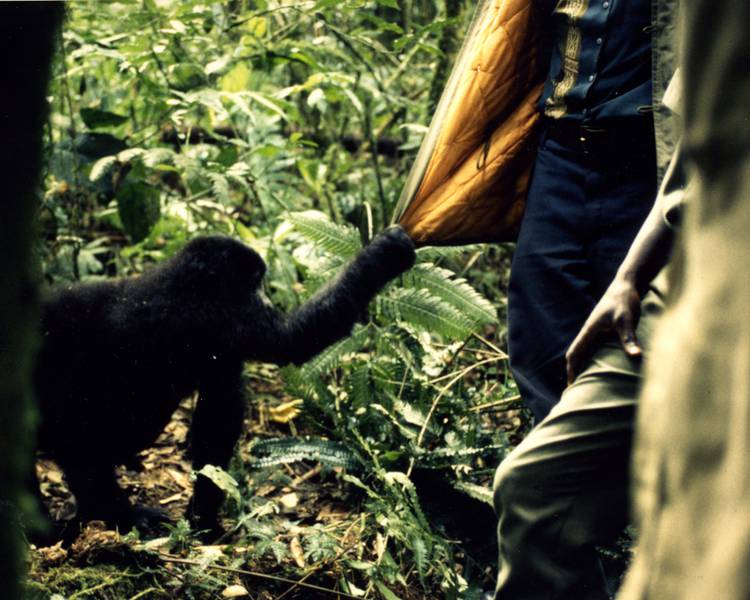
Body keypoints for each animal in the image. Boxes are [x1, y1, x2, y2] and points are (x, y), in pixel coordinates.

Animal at [35, 225, 418, 540]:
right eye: (256, 283)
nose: (266, 297)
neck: (183, 281)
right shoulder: (233, 320)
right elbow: (295, 338)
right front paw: (383, 254)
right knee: (85, 454)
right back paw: (114, 514)